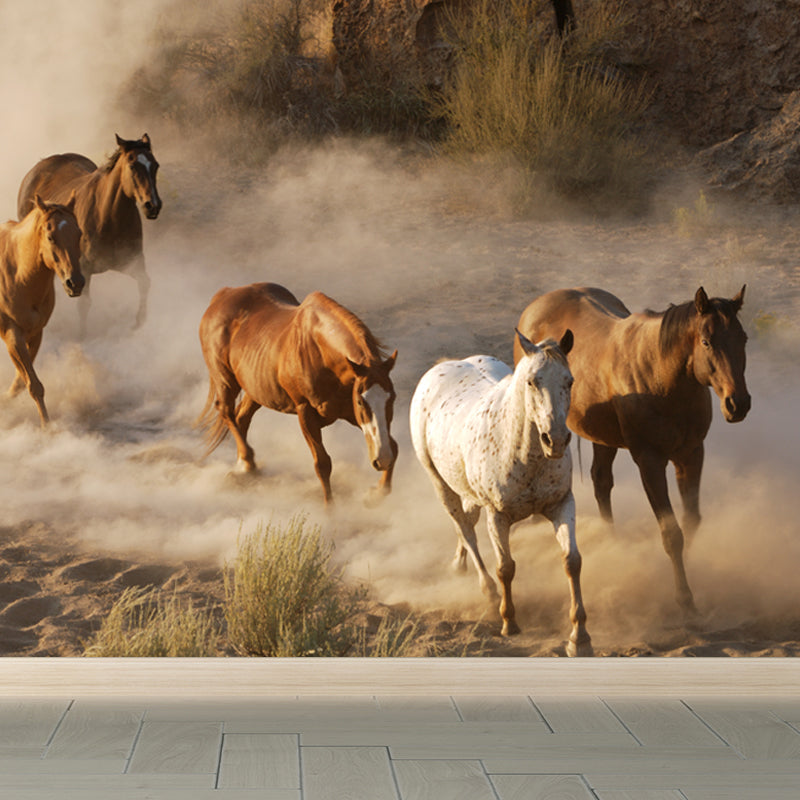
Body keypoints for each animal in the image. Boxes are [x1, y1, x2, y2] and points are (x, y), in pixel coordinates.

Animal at [0, 194, 84, 425]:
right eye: (50, 236)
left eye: (79, 233)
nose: (75, 283)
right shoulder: (12, 334)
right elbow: (33, 384)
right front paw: (47, 428)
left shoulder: (35, 333)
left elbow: (22, 382)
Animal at [17, 133, 161, 336]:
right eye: (132, 166)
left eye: (155, 165)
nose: (153, 206)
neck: (108, 218)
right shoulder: (82, 269)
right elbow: (84, 304)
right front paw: (82, 335)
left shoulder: (132, 262)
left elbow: (144, 283)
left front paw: (140, 323)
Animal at [197, 282, 398, 504]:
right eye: (362, 401)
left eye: (392, 398)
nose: (382, 459)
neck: (320, 352)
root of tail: (223, 294)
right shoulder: (306, 412)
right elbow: (322, 463)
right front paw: (330, 509)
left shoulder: (348, 412)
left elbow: (394, 446)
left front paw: (376, 493)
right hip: (225, 380)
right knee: (226, 411)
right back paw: (248, 463)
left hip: (255, 390)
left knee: (241, 417)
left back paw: (244, 467)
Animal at [409, 329, 592, 656]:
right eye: (532, 381)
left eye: (569, 381)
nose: (556, 440)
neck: (523, 454)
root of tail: (442, 367)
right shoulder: (498, 516)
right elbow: (505, 568)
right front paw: (509, 623)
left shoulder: (561, 504)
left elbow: (572, 561)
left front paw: (579, 637)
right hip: (440, 484)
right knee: (465, 529)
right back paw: (488, 592)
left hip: (467, 491)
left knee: (467, 523)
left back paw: (458, 564)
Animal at [515, 286, 750, 617]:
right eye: (706, 341)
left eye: (743, 339)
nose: (737, 404)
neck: (662, 378)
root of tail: (536, 306)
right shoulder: (649, 462)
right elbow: (671, 533)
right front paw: (684, 598)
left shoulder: (691, 455)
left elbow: (691, 521)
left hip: (603, 438)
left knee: (601, 482)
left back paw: (612, 541)